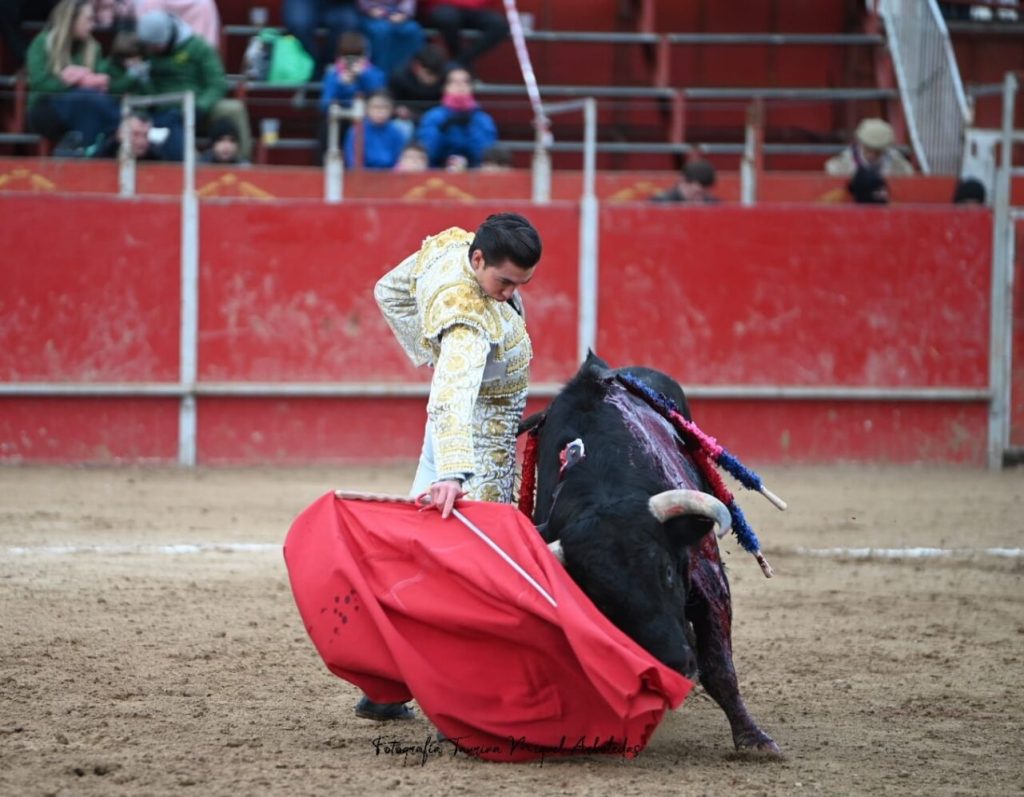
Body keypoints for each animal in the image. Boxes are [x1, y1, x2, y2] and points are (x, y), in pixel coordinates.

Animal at [524, 354, 778, 749]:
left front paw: (754, 740)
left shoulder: (708, 578)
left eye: (668, 572)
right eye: (603, 600)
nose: (676, 663)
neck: (604, 483)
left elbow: (719, 667)